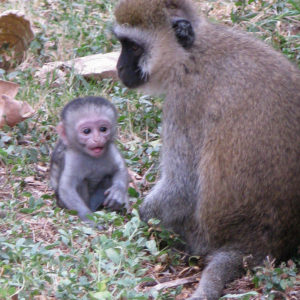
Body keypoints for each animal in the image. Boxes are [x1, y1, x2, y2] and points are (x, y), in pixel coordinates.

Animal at [113, 0, 300, 300]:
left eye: (133, 47)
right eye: (123, 44)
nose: (119, 67)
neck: (193, 53)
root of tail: (257, 244)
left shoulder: (184, 101)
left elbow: (182, 186)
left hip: (199, 236)